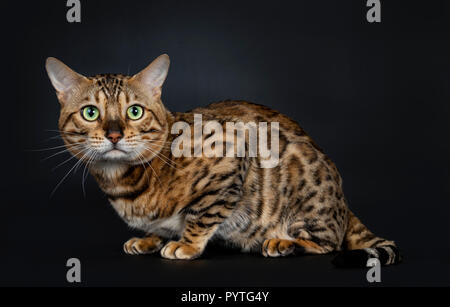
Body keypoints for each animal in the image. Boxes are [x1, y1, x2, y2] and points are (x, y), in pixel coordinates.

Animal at [45, 54, 400, 268]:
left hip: (306, 200)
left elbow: (201, 216)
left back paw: (283, 243)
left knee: (329, 243)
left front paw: (185, 245)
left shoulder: (230, 158)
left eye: (134, 111)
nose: (115, 134)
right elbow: (159, 225)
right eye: (91, 112)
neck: (124, 183)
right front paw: (150, 238)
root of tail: (344, 205)